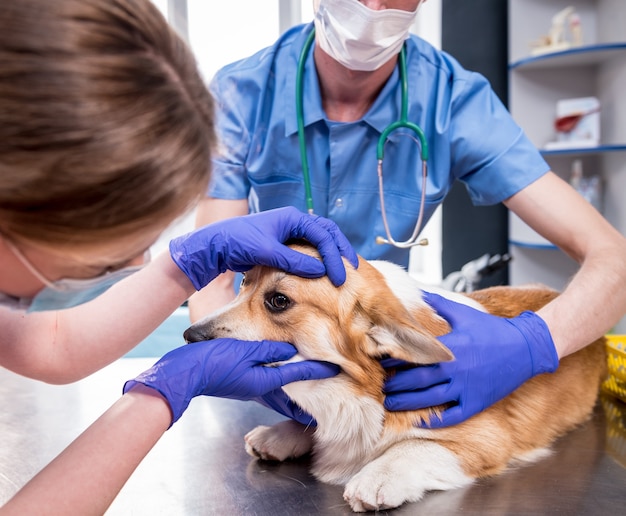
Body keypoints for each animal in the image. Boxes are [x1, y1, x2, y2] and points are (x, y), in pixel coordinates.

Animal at [182, 242, 604, 512]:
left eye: (278, 301)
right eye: (243, 284)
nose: (189, 336)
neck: (358, 388)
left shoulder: (486, 439)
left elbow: (414, 447)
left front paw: (378, 475)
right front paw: (282, 433)